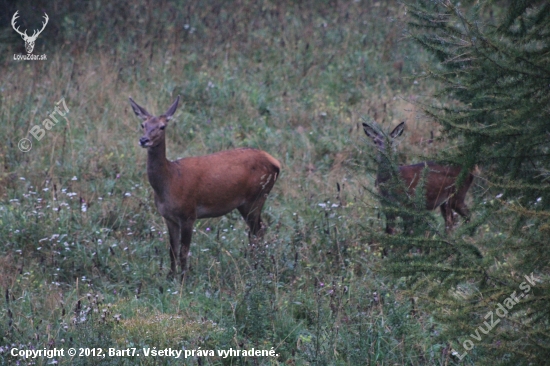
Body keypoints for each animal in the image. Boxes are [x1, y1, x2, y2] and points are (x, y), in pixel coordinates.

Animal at [132, 95, 282, 280]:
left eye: (162, 126)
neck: (170, 181)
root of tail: (276, 164)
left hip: (256, 197)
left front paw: (183, 279)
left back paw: (256, 267)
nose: (143, 140)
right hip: (247, 203)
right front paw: (169, 277)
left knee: (258, 231)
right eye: (143, 124)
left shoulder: (188, 214)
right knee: (256, 231)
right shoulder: (168, 217)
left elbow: (184, 251)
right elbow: (172, 250)